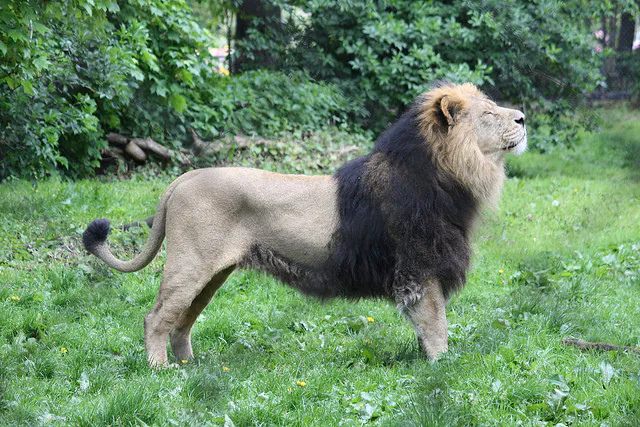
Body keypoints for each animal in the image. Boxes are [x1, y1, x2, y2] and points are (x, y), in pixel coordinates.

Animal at [83, 82, 527, 367]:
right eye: (490, 113)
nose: (523, 118)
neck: (449, 174)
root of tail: (182, 178)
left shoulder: (420, 273)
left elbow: (424, 329)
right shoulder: (420, 268)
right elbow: (437, 327)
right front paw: (442, 369)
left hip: (211, 275)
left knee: (181, 323)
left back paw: (191, 367)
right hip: (189, 264)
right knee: (156, 318)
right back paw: (160, 372)